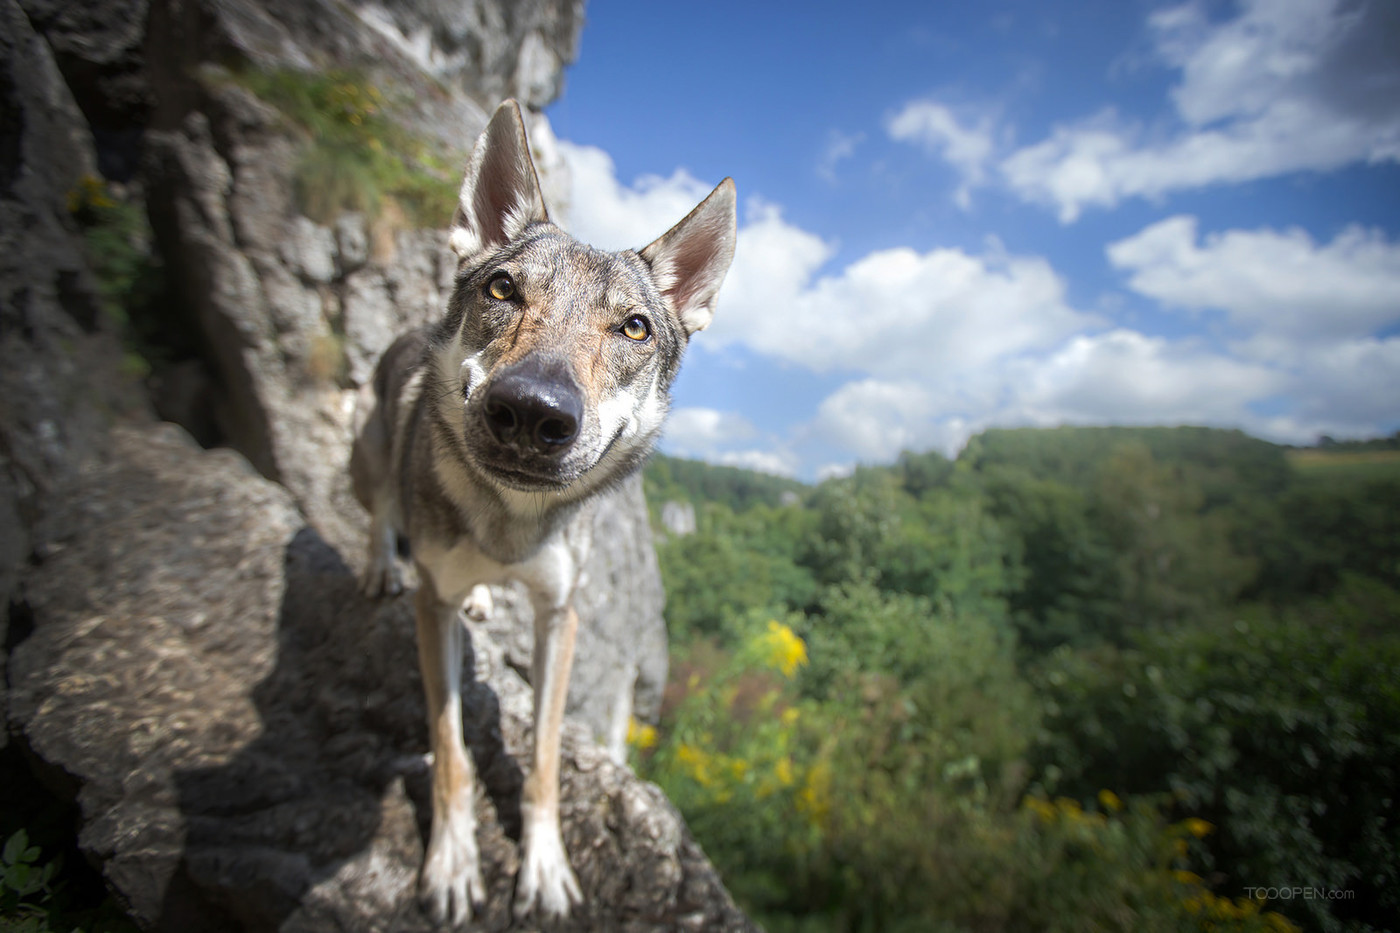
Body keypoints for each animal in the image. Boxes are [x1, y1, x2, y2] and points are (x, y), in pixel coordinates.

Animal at [350, 95, 739, 924]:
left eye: (633, 327)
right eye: (503, 290)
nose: (531, 410)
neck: (509, 524)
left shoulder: (561, 616)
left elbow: (543, 761)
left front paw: (546, 866)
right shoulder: (431, 608)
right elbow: (451, 752)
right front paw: (452, 863)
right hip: (367, 460)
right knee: (379, 510)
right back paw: (378, 565)